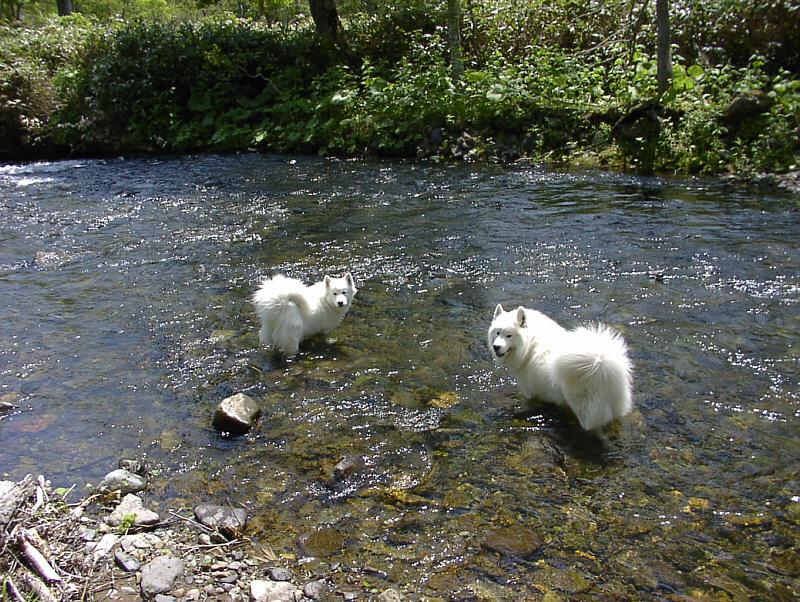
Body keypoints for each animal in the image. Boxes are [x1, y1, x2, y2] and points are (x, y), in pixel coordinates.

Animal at [488, 302, 632, 428]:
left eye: (509, 335)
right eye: (497, 332)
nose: (496, 347)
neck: (529, 344)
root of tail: (601, 365)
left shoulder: (529, 392)